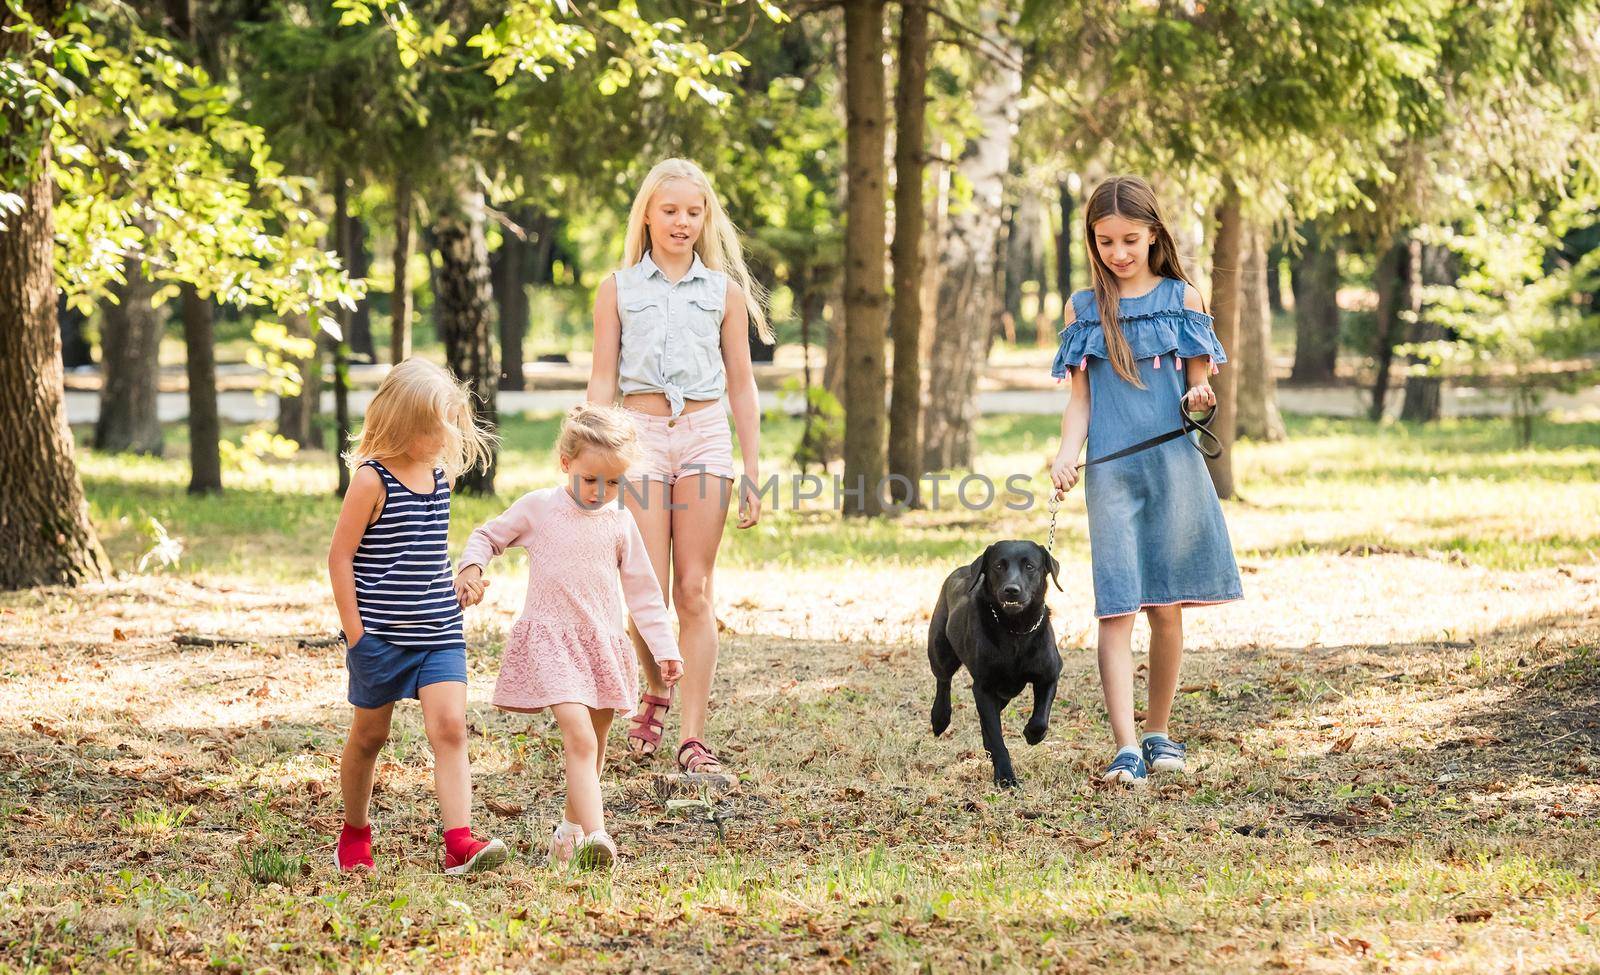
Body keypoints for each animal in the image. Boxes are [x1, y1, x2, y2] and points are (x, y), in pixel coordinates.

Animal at [928, 534, 1062, 787]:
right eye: (999, 566)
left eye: (1030, 566)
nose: (1012, 590)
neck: (1016, 630)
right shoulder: (984, 687)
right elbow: (997, 736)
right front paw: (1005, 776)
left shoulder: (1050, 674)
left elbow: (1040, 718)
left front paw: (1032, 734)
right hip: (940, 650)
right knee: (943, 680)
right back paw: (940, 717)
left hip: (1006, 693)